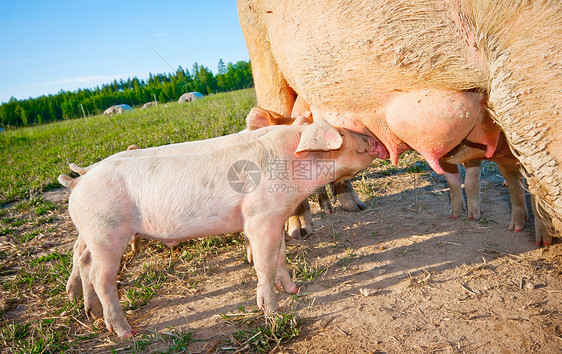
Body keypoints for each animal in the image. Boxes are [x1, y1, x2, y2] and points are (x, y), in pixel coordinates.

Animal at [59, 117, 374, 336]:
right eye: (342, 132)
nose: (371, 136)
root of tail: (80, 182)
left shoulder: (275, 217)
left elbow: (280, 256)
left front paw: (294, 289)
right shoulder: (259, 217)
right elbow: (264, 264)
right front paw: (273, 311)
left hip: (95, 234)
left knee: (85, 261)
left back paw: (92, 314)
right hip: (106, 232)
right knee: (99, 275)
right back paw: (124, 331)